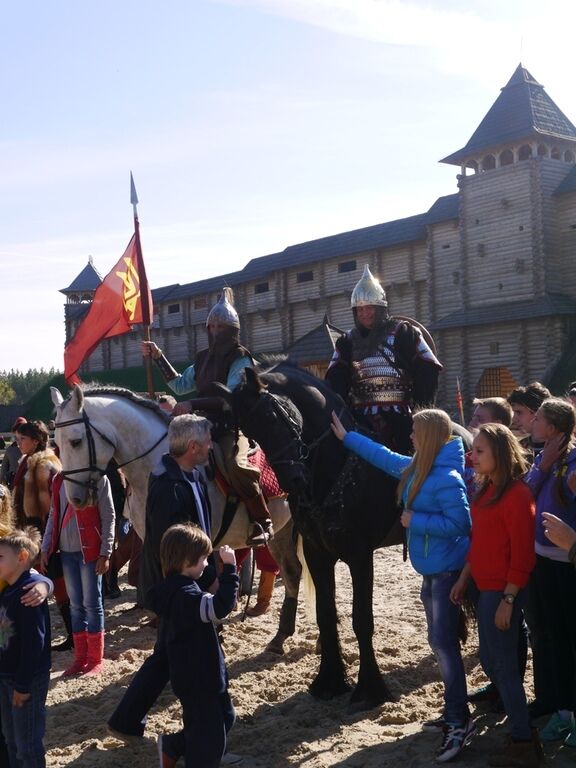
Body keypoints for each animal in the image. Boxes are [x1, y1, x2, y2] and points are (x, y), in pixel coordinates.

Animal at [50, 388, 302, 652]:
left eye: (76, 441)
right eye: (56, 443)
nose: (75, 499)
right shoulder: (154, 541)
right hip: (282, 531)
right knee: (292, 572)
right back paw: (280, 636)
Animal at [217, 360, 410, 708]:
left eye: (274, 417)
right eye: (252, 434)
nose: (292, 480)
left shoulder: (360, 557)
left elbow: (362, 619)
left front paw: (370, 688)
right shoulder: (318, 555)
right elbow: (325, 614)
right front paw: (329, 680)